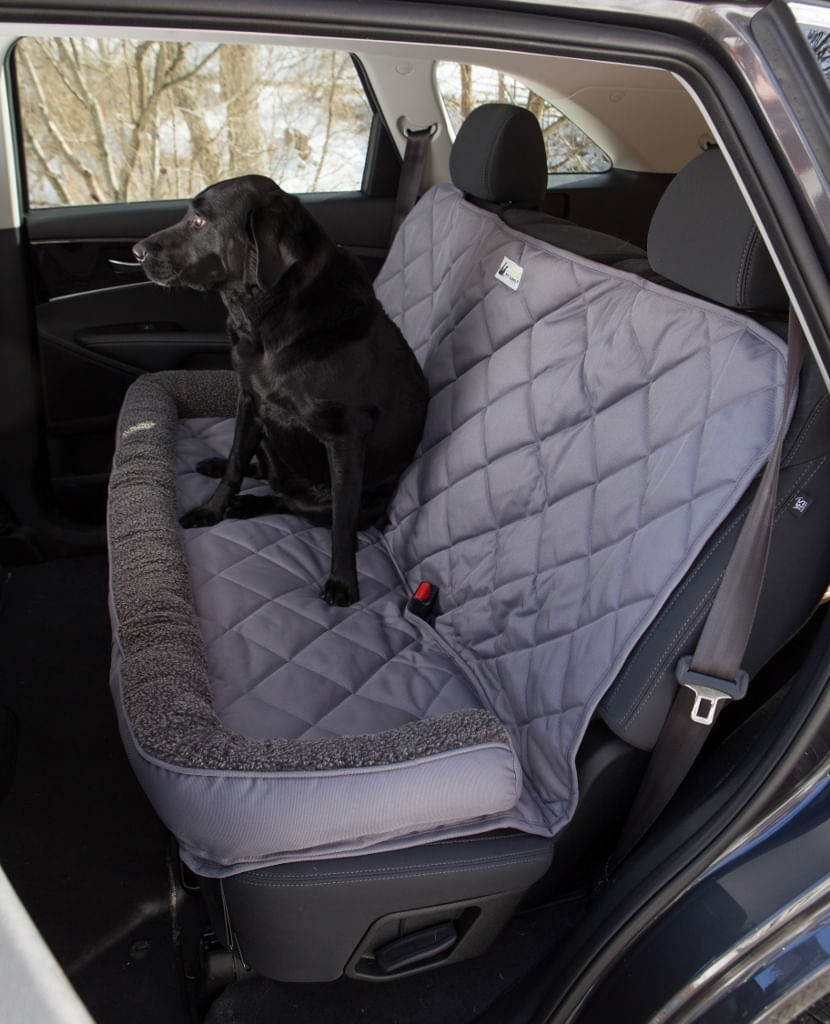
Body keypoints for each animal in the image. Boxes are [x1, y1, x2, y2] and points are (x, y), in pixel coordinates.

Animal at [134, 176, 427, 606]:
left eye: (199, 221)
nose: (136, 251)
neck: (268, 314)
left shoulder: (345, 437)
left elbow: (342, 522)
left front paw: (343, 581)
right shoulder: (249, 400)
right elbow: (236, 463)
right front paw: (212, 508)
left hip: (357, 496)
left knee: (297, 503)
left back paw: (251, 504)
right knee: (264, 472)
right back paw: (225, 476)